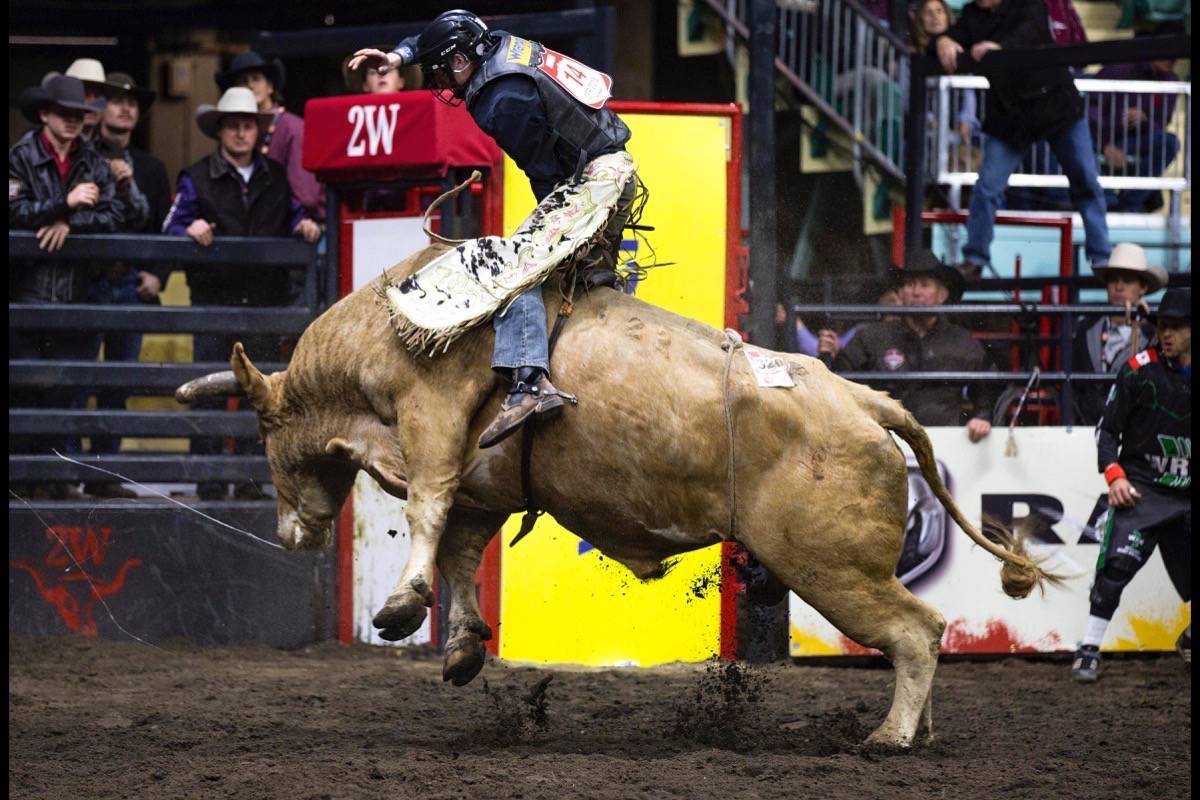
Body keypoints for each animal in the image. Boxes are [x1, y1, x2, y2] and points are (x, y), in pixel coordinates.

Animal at [175, 244, 1051, 753]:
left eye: (265, 431)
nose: (292, 533)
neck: (379, 333)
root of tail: (866, 402)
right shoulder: (483, 486)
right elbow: (460, 547)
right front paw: (462, 646)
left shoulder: (431, 417)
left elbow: (427, 509)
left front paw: (399, 605)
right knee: (920, 633)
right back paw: (917, 729)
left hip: (831, 568)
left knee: (916, 630)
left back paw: (891, 736)